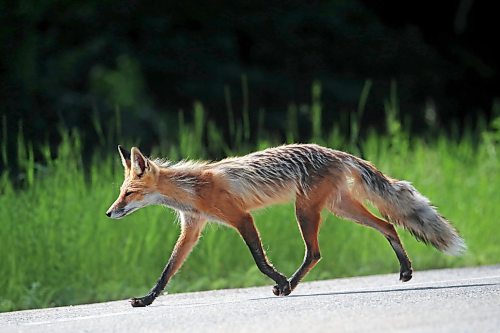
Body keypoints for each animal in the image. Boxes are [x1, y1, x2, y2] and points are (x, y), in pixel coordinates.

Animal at [104, 143, 464, 306]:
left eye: (129, 193)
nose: (108, 213)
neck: (192, 189)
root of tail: (336, 152)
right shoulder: (192, 229)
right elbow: (166, 271)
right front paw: (147, 299)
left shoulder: (240, 217)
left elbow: (260, 260)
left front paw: (277, 280)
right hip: (339, 208)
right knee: (388, 225)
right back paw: (405, 270)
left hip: (305, 210)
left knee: (315, 252)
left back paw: (289, 284)